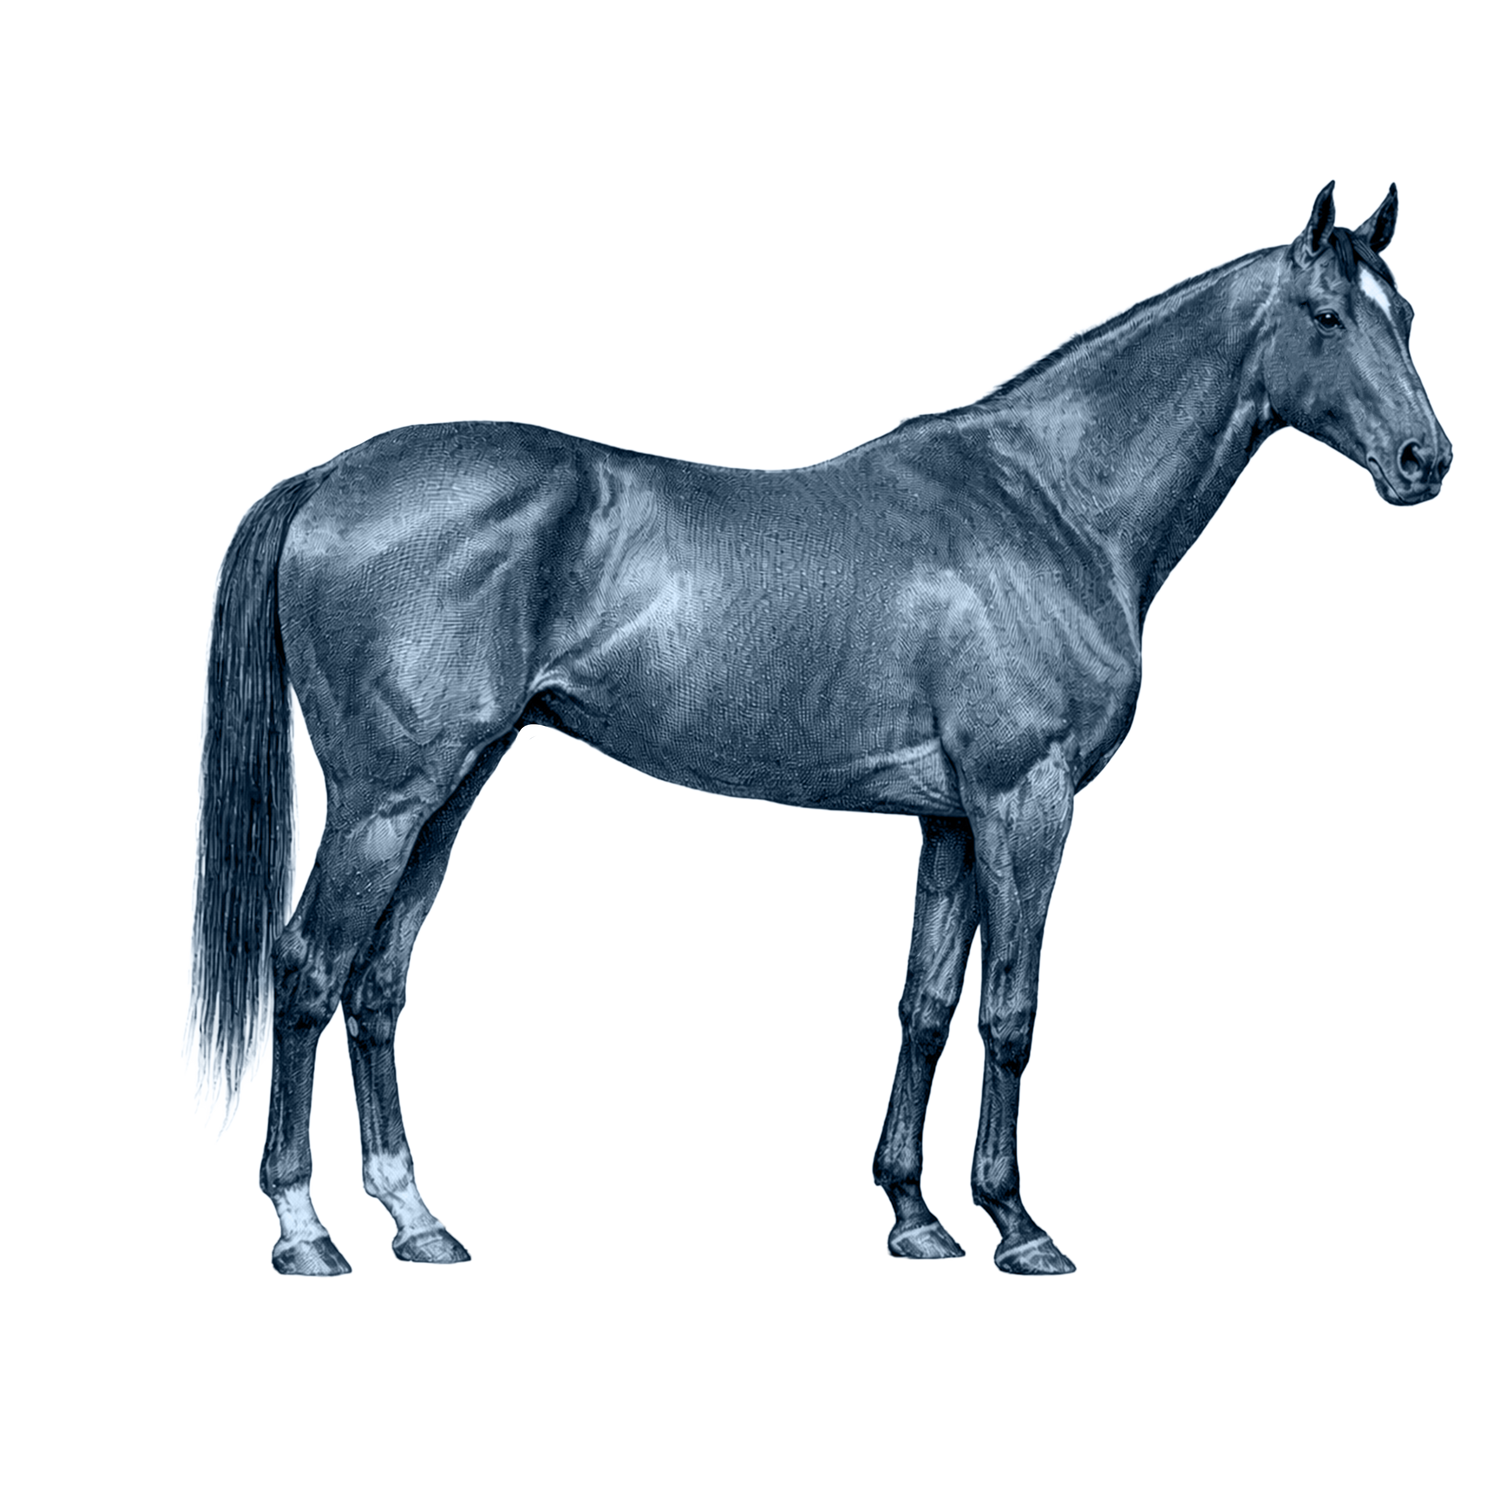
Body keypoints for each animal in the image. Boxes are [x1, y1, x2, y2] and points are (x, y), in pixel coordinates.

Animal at [182, 177, 1453, 1279]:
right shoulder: (1025, 802)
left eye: (1408, 315)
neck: (1049, 503)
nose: (1424, 461)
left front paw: (918, 1218)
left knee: (377, 983)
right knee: (308, 968)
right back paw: (305, 1232)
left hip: (451, 792)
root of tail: (328, 477)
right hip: (385, 801)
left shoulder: (952, 821)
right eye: (1327, 316)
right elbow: (1012, 1012)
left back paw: (417, 1220)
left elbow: (927, 1009)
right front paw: (1021, 1228)